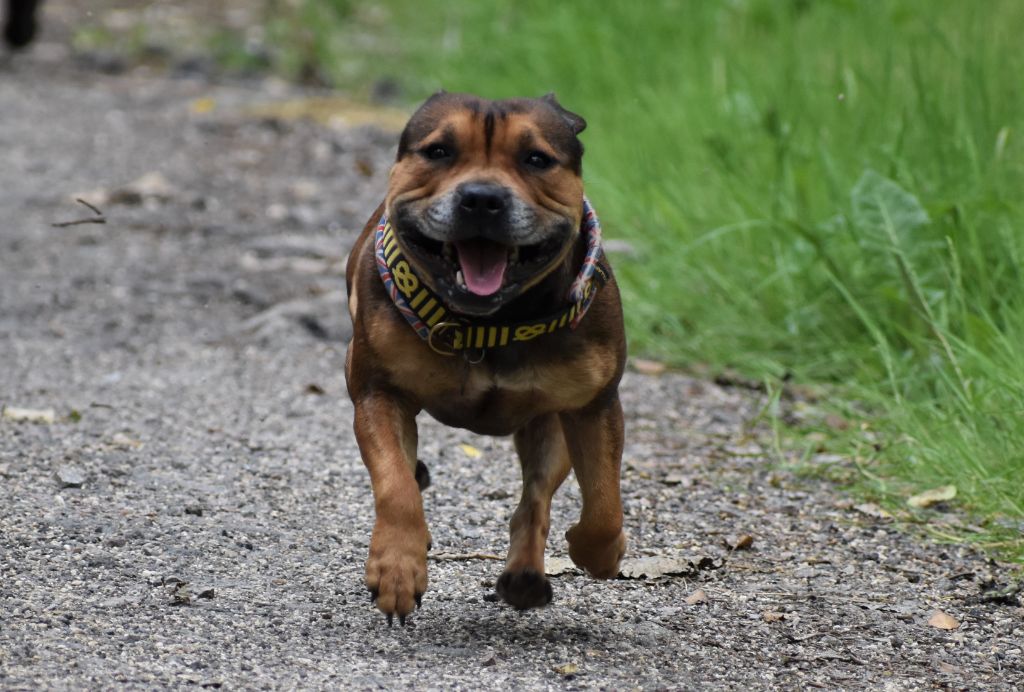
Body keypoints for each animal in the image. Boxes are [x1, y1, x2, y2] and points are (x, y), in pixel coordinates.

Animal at [344, 92, 626, 624]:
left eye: (536, 158)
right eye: (438, 151)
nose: (481, 198)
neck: (491, 322)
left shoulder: (592, 406)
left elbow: (603, 501)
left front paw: (598, 550)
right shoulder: (377, 392)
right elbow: (395, 485)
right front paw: (396, 567)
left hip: (549, 427)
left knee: (535, 498)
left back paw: (525, 578)